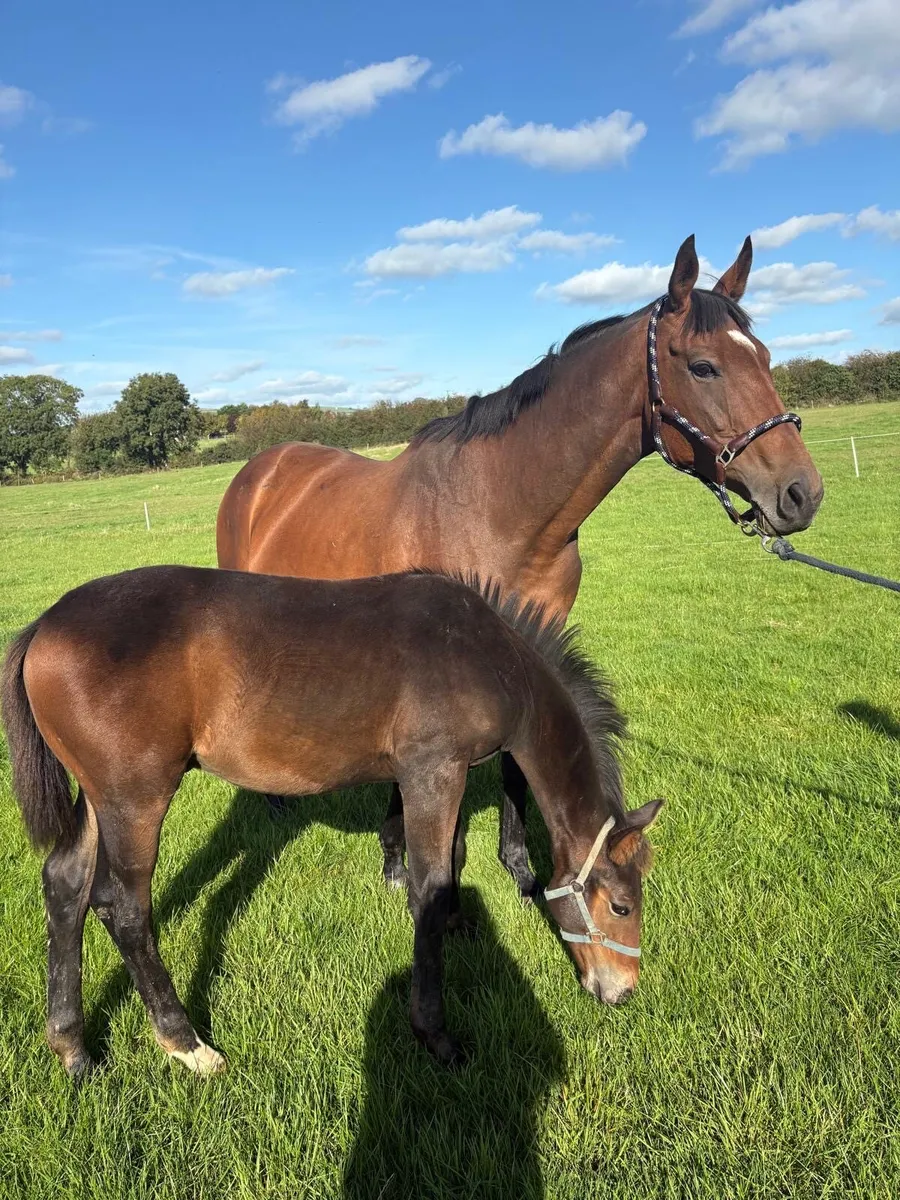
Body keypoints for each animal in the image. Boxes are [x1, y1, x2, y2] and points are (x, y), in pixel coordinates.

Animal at [2, 566, 662, 1076]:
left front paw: (458, 922)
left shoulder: (431, 774)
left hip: (98, 799)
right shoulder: (434, 770)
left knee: (65, 885)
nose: (624, 991)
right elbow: (429, 885)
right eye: (622, 906)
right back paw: (187, 1044)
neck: (490, 658)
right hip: (136, 800)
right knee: (123, 909)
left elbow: (449, 860)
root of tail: (42, 628)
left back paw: (72, 1048)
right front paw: (435, 1035)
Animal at [216, 233, 822, 899]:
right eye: (703, 366)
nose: (801, 493)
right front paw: (417, 867)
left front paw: (518, 868)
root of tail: (262, 467)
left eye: (765, 356)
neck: (499, 509)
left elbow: (515, 762)